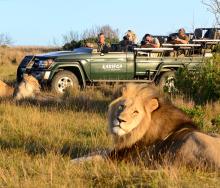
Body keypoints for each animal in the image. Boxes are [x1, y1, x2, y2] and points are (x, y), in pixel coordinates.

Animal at [73, 83, 220, 170]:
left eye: (135, 112)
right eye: (121, 106)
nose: (120, 120)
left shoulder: (119, 157)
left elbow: (95, 157)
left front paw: (72, 161)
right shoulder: (118, 150)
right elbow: (96, 151)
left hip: (190, 141)